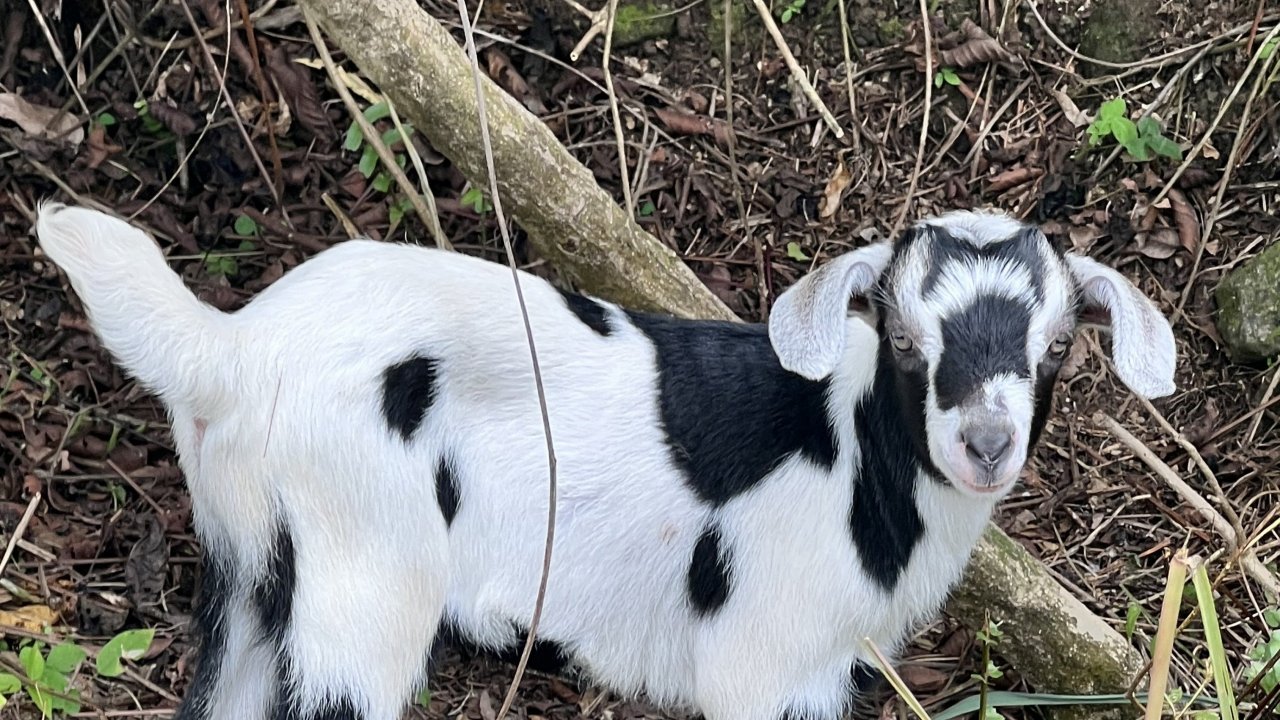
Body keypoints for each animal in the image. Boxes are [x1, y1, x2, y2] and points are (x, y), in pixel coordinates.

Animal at [34, 202, 1176, 720]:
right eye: (903, 337)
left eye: (1055, 349)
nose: (984, 442)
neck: (854, 459)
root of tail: (231, 348)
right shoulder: (770, 659)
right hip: (367, 561)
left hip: (252, 558)